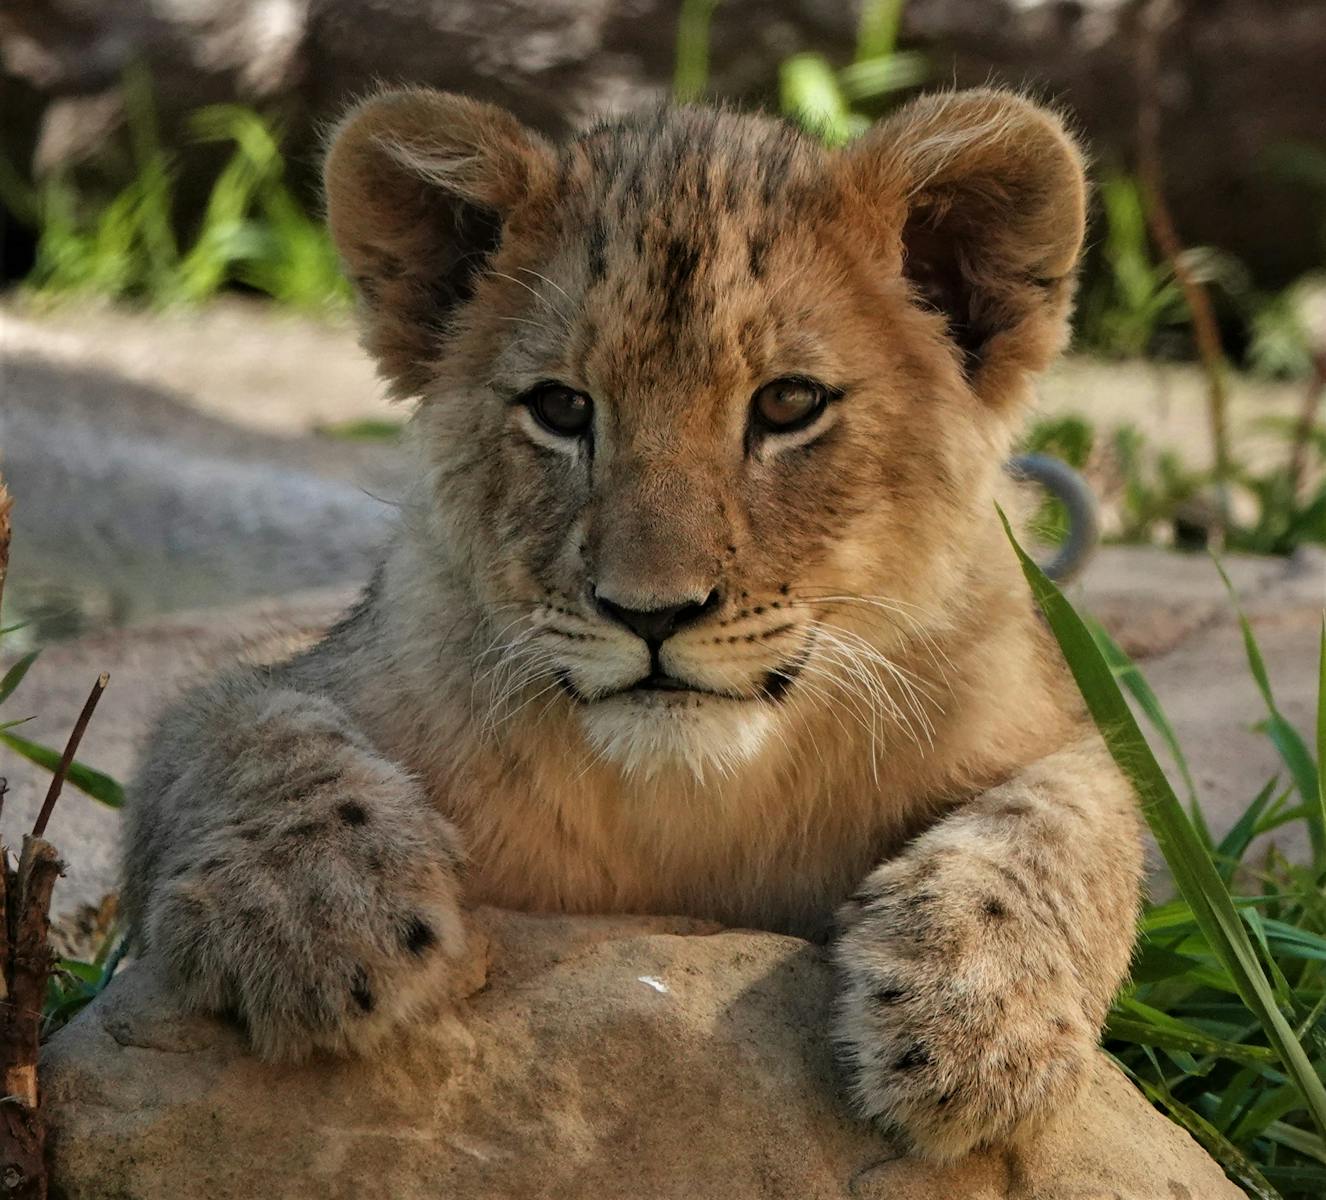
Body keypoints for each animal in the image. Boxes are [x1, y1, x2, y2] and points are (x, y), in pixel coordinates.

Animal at [121, 87, 1142, 1162]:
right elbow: (239, 733)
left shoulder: (1046, 717)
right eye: (561, 409)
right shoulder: (317, 672)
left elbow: (1066, 823)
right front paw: (315, 915)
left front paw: (972, 1026)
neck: (690, 802)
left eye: (789, 404)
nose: (652, 612)